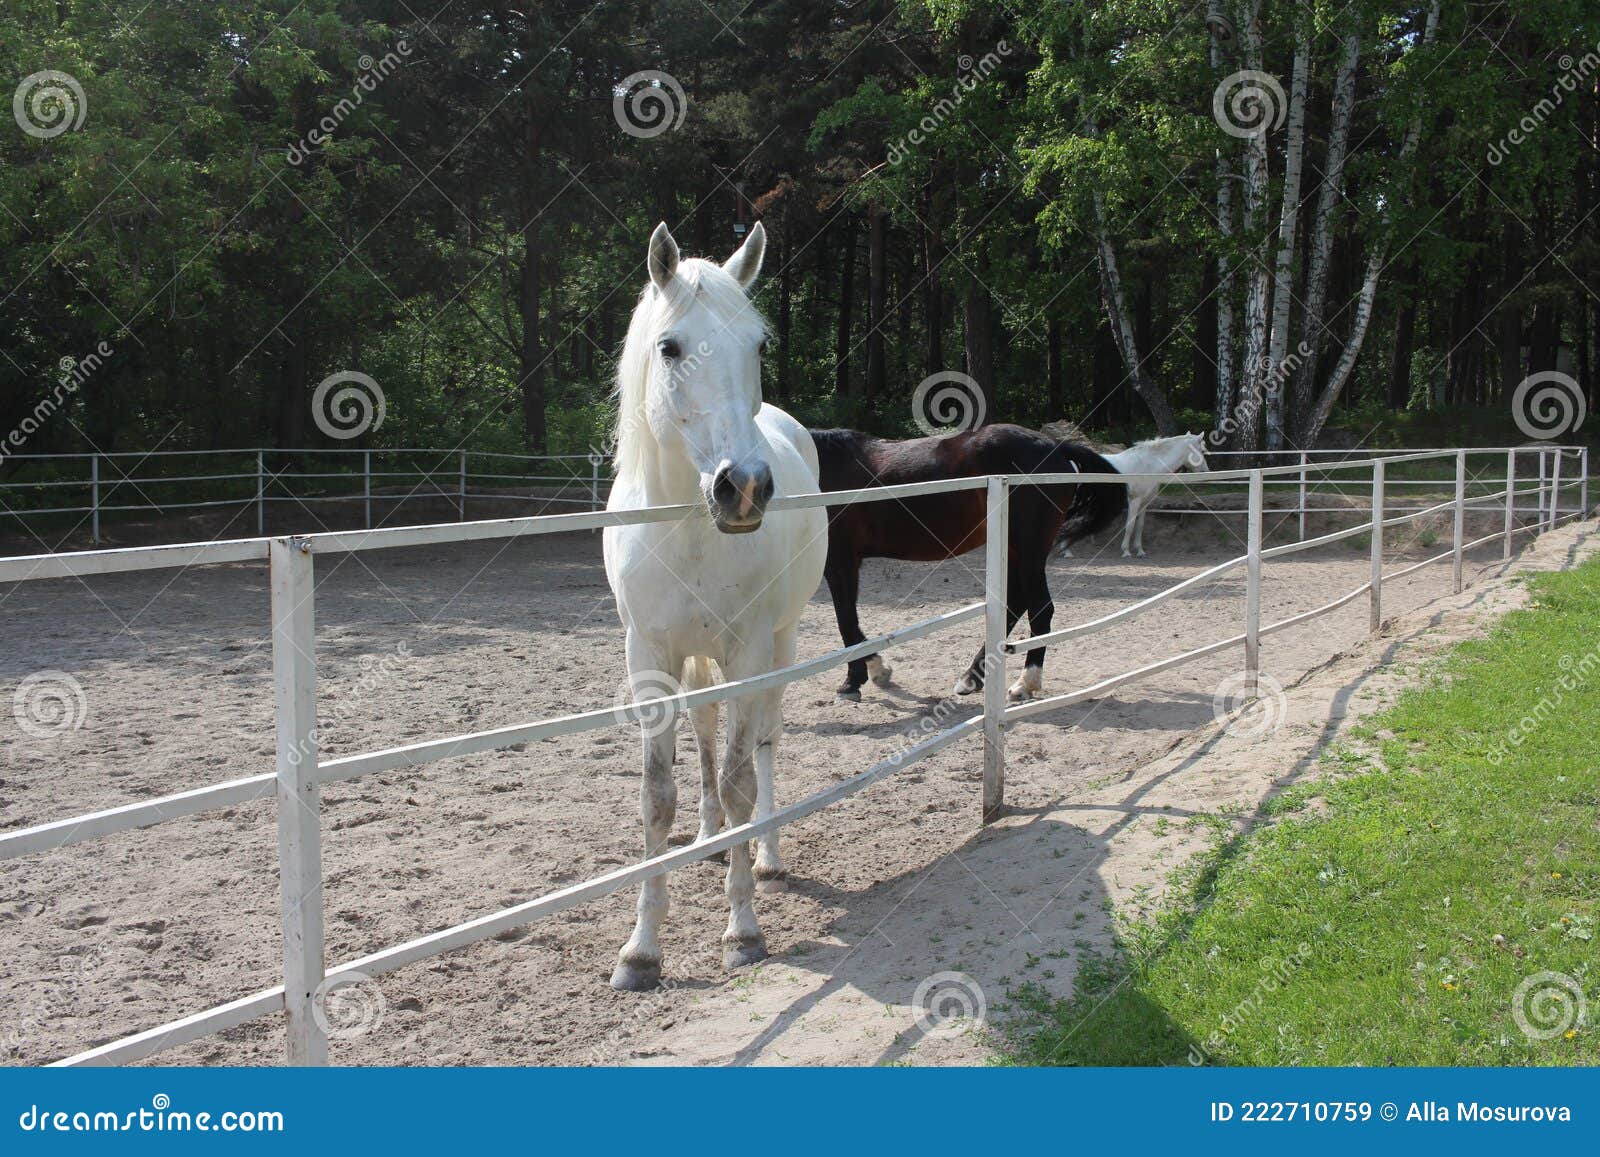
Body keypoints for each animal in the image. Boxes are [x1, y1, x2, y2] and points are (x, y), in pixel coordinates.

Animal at [603, 220, 826, 991]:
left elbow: (737, 781)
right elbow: (657, 794)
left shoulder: (750, 648)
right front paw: (641, 949)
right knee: (704, 734)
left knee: (763, 742)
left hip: (779, 647)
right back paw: (705, 840)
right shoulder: (648, 655)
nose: (745, 487)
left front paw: (743, 929)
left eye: (757, 344)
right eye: (670, 347)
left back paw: (766, 853)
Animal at [811, 424, 1126, 703]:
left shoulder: (839, 563)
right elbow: (850, 624)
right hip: (1015, 551)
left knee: (1040, 609)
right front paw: (877, 670)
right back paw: (972, 678)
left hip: (1029, 551)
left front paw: (855, 681)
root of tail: (1056, 446)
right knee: (1015, 603)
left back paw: (1023, 684)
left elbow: (847, 623)